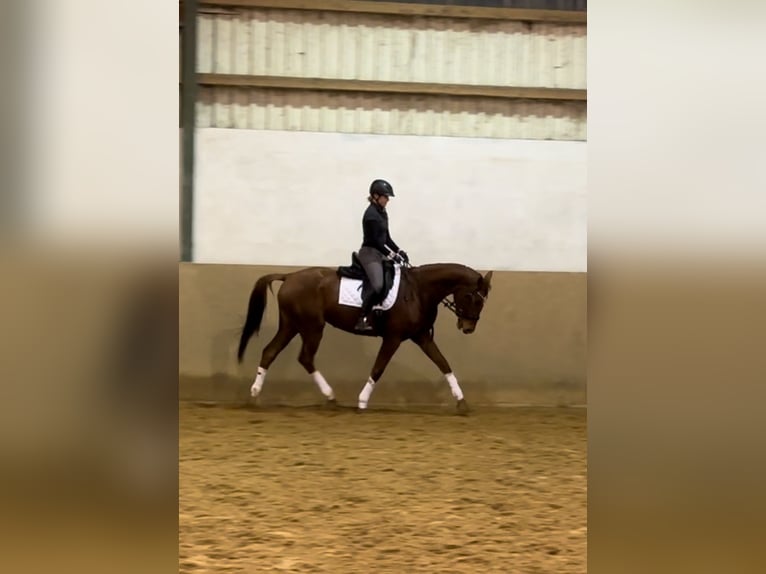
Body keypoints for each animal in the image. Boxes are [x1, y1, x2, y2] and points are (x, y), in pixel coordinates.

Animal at [236, 254, 493, 413]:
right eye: (471, 297)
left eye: (482, 301)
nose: (468, 328)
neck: (419, 291)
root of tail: (289, 276)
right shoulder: (393, 337)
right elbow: (378, 368)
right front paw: (362, 401)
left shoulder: (421, 336)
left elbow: (443, 363)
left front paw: (462, 402)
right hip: (311, 326)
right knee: (305, 357)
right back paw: (330, 396)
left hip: (292, 325)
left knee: (270, 352)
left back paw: (254, 396)